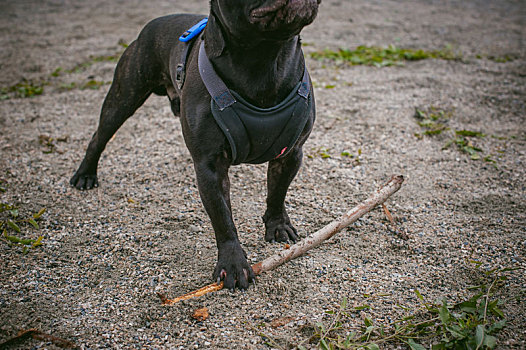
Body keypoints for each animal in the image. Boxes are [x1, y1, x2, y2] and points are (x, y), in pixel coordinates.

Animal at [70, 0, 322, 290]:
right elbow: (223, 217)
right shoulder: (210, 167)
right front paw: (233, 264)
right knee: (99, 136)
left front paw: (278, 226)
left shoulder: (290, 154)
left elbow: (277, 193)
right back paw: (85, 174)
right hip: (123, 97)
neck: (265, 56)